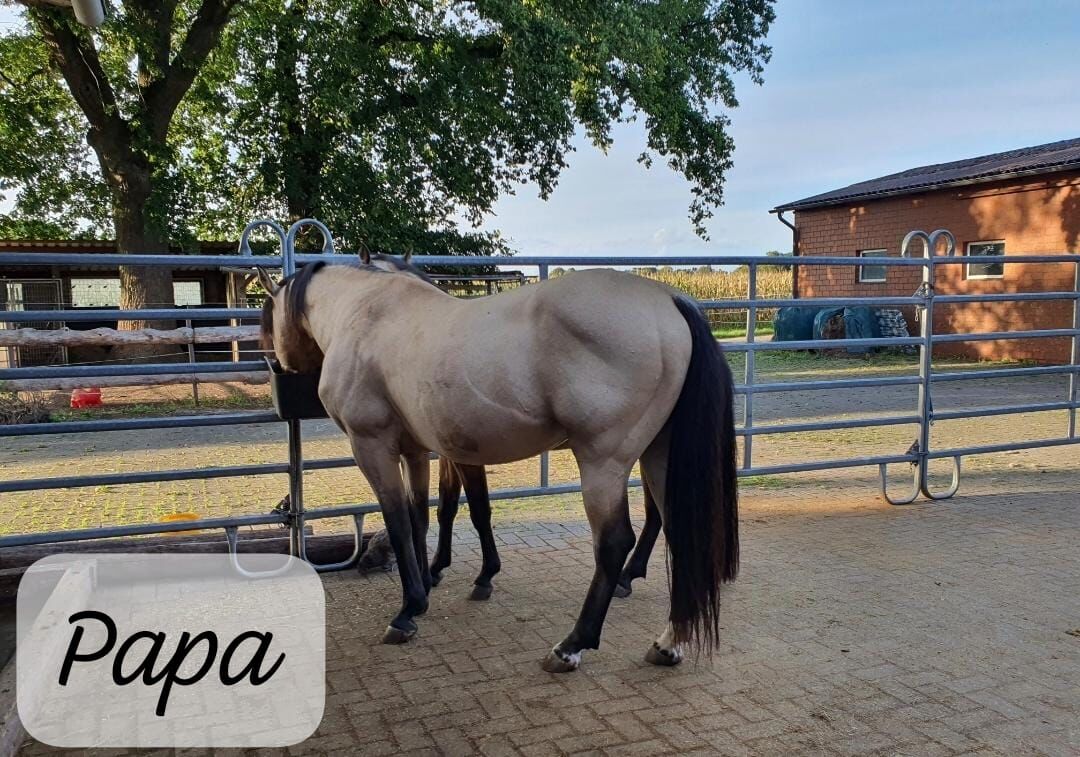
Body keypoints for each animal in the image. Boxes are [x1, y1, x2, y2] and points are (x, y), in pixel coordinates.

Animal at [258, 258, 739, 672]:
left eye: (266, 317)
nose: (278, 367)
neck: (364, 313)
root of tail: (669, 300)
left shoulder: (372, 446)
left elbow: (398, 521)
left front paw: (407, 610)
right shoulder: (415, 450)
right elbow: (421, 517)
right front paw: (426, 587)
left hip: (605, 462)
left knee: (615, 542)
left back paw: (572, 646)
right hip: (658, 454)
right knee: (677, 531)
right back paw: (669, 642)